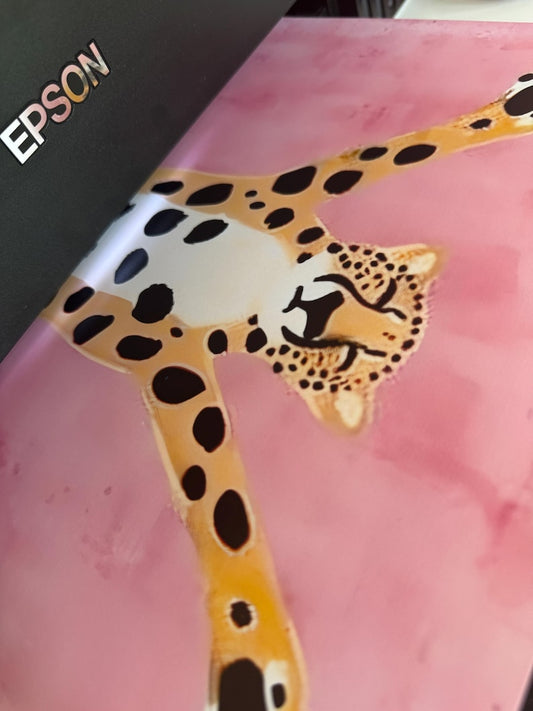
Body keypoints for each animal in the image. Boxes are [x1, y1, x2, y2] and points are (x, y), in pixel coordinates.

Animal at [43, 74, 533, 711]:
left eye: (353, 355)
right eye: (378, 294)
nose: (317, 309)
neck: (256, 285)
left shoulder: (175, 369)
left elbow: (221, 506)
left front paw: (252, 667)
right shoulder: (268, 199)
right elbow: (391, 154)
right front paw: (521, 103)